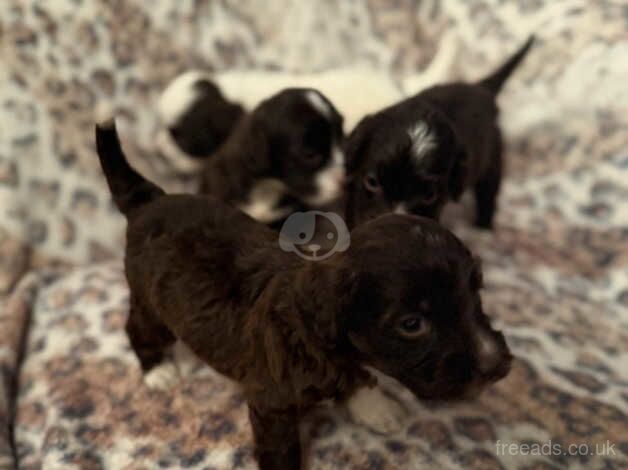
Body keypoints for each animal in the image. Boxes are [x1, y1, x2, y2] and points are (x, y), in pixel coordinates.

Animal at [94, 115, 516, 468]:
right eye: (412, 324)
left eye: (475, 293)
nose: (498, 366)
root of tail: (149, 198)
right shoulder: (272, 404)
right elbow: (281, 448)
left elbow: (358, 377)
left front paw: (375, 407)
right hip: (150, 301)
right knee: (138, 328)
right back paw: (158, 371)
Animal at [344, 35, 536, 229]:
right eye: (371, 181)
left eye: (430, 196)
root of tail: (482, 89)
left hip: (492, 159)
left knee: (488, 195)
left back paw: (483, 227)